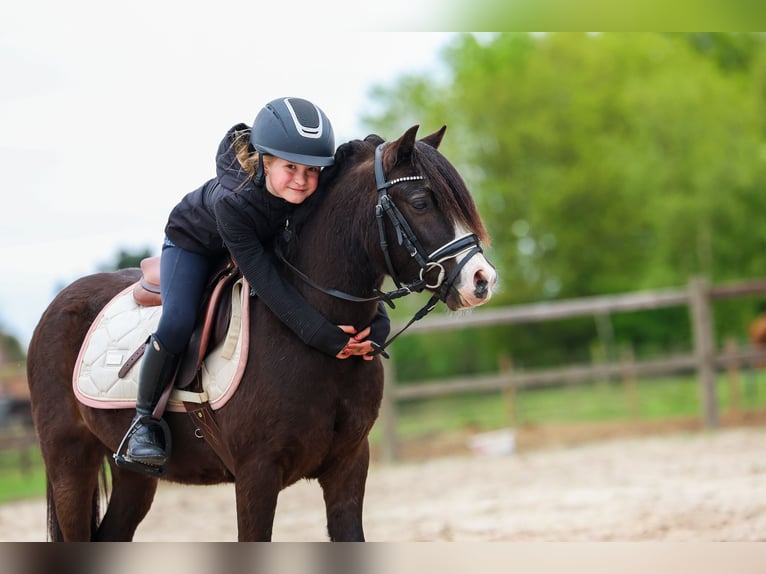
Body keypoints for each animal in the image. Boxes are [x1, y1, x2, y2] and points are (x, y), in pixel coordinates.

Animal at [26, 125, 497, 541]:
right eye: (420, 202)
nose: (482, 280)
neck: (316, 334)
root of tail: (55, 307)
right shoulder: (256, 475)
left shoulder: (348, 464)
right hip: (70, 461)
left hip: (133, 477)